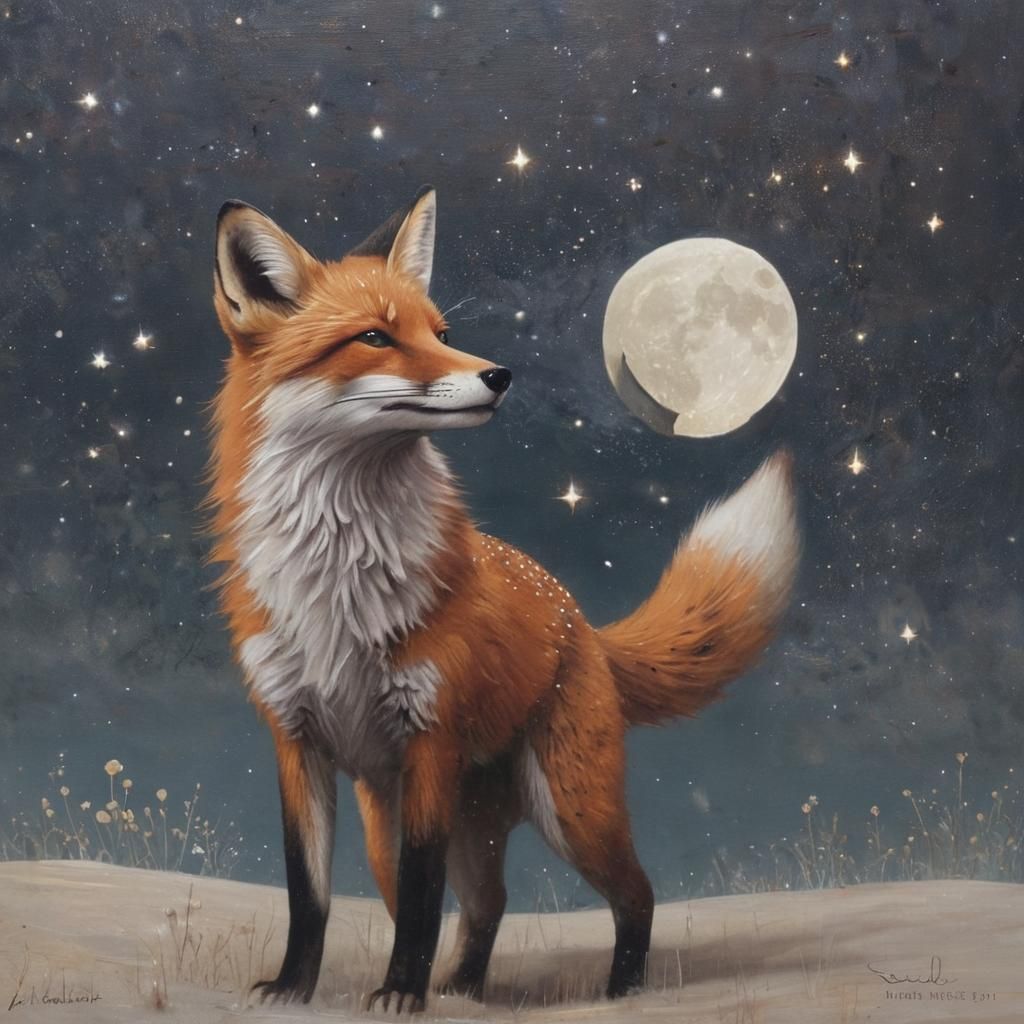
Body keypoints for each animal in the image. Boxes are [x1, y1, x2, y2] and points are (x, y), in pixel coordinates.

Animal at [206, 185, 800, 1013]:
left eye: (441, 333)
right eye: (374, 338)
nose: (500, 374)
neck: (339, 579)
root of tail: (578, 618)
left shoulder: (428, 738)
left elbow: (422, 900)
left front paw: (401, 997)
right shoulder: (296, 743)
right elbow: (311, 894)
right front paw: (294, 989)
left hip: (569, 807)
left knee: (635, 893)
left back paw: (621, 993)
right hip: (410, 822)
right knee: (488, 904)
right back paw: (462, 991)